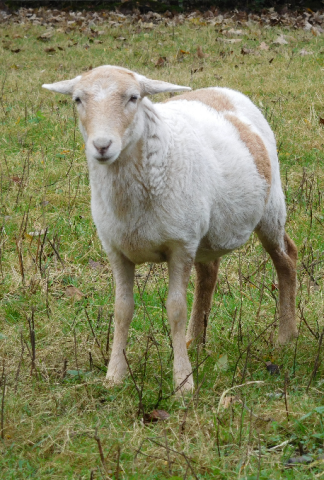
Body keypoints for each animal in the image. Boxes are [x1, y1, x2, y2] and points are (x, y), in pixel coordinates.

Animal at [43, 65, 298, 392]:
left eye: (133, 97)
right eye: (77, 100)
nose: (102, 146)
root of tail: (222, 90)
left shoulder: (180, 245)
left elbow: (176, 309)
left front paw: (183, 382)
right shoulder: (116, 249)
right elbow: (122, 310)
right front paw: (114, 377)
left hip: (269, 209)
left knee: (286, 259)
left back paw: (286, 336)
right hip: (205, 236)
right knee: (209, 274)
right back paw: (194, 341)